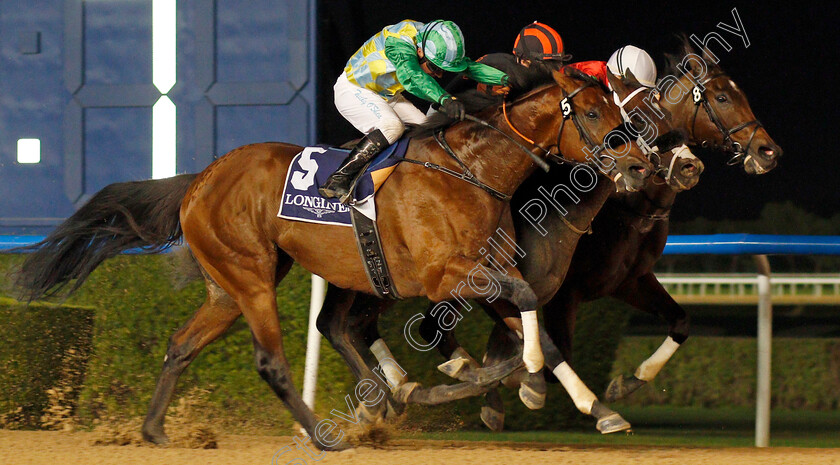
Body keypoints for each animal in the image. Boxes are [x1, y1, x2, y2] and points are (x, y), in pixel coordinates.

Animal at [14, 67, 656, 448]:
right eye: (593, 113)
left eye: (618, 110)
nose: (640, 163)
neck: (472, 170)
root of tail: (200, 179)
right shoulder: (445, 276)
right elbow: (520, 308)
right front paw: (500, 379)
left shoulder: (483, 270)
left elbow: (531, 324)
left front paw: (530, 386)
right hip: (252, 277)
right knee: (273, 359)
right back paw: (328, 434)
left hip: (241, 282)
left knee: (187, 343)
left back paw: (155, 431)